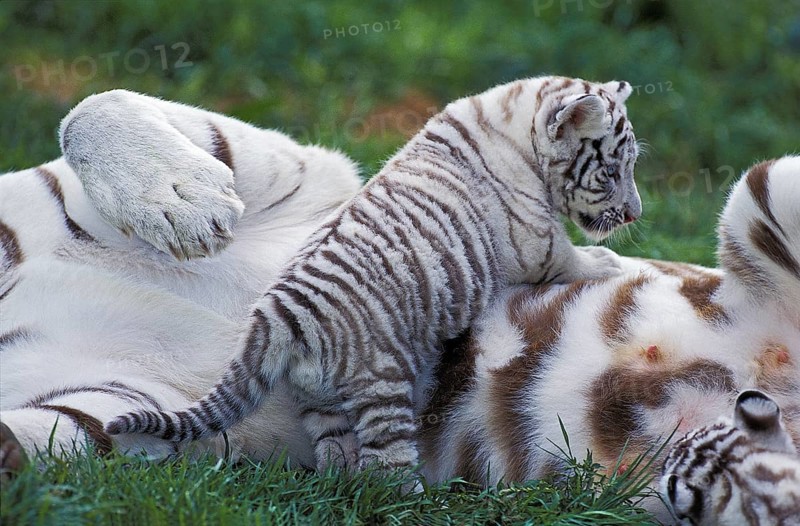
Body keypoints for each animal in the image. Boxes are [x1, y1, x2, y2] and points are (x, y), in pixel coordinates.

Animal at [103, 76, 642, 472]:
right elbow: (570, 257)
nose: (635, 213)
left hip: (319, 399)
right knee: (385, 468)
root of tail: (276, 317)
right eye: (613, 171)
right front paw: (607, 261)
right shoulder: (538, 241)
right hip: (381, 384)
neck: (511, 124)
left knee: (337, 457)